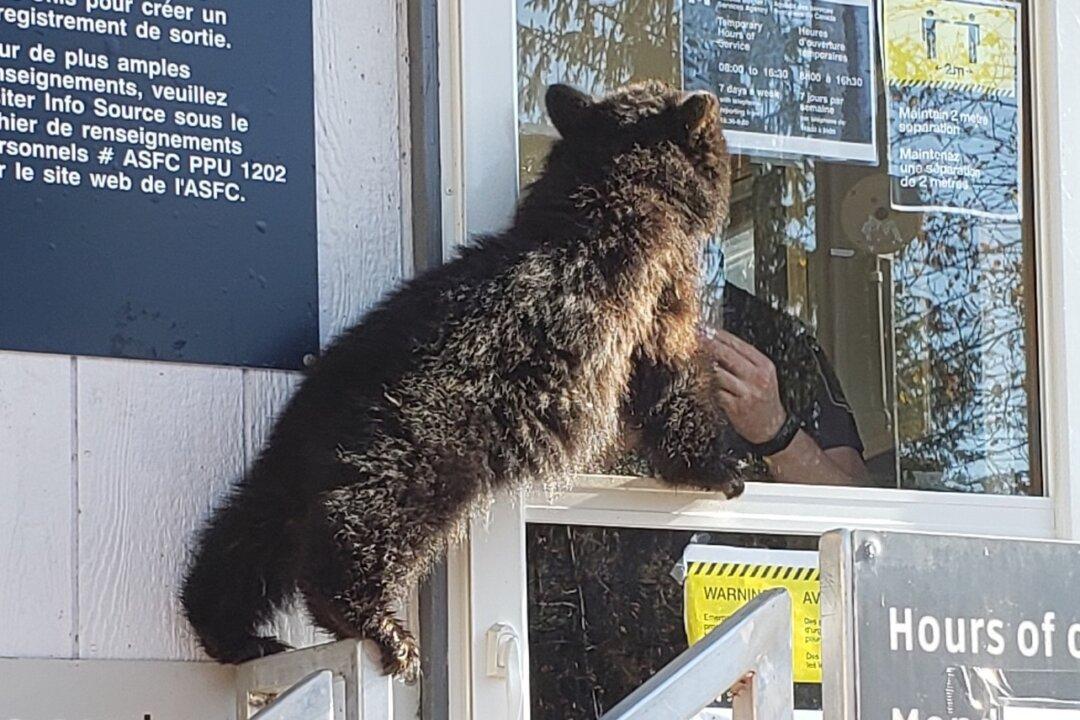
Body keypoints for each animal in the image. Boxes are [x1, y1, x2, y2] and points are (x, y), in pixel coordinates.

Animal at [180, 80, 748, 683]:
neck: (613, 193)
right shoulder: (655, 295)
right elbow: (670, 378)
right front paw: (721, 466)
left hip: (291, 453)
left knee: (248, 531)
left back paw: (233, 631)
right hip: (427, 441)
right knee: (363, 518)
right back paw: (377, 624)